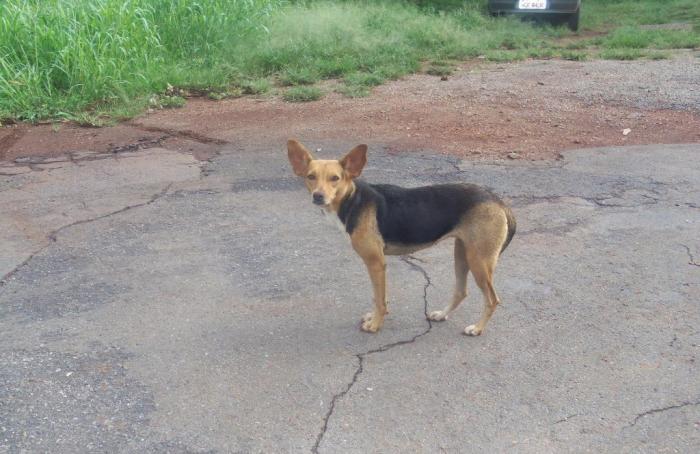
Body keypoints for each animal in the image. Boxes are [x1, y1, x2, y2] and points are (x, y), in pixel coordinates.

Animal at [288, 140, 516, 336]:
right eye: (311, 176)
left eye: (335, 178)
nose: (318, 196)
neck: (352, 200)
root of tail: (498, 201)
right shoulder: (377, 264)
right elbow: (378, 296)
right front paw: (374, 317)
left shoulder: (376, 262)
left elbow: (379, 299)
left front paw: (375, 324)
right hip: (462, 253)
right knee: (461, 291)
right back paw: (442, 314)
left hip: (479, 261)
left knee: (492, 299)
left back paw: (477, 328)